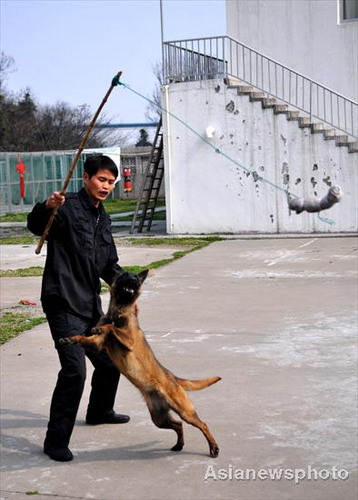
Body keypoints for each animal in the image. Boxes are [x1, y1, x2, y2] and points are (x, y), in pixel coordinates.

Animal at [60, 270, 220, 458]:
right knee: (178, 425)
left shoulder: (129, 340)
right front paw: (69, 339)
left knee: (203, 424)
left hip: (184, 410)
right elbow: (83, 337)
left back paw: (213, 448)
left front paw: (104, 327)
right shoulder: (96, 344)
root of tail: (173, 377)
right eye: (125, 274)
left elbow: (111, 328)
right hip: (159, 418)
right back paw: (179, 445)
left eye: (135, 277)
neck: (118, 311)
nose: (134, 279)